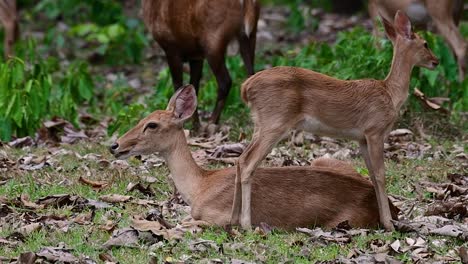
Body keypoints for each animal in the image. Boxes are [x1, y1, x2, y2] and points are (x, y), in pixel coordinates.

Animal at [109, 85, 398, 230]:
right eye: (142, 118)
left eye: (152, 125)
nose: (114, 145)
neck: (200, 187)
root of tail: (394, 208)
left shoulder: (217, 217)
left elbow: (182, 223)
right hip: (325, 159)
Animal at [141, 0, 262, 128]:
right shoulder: (196, 56)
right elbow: (193, 86)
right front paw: (195, 125)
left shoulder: (171, 48)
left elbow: (178, 86)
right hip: (249, 34)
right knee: (251, 75)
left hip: (213, 41)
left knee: (225, 81)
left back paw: (211, 122)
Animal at [233, 11, 438, 231]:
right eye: (425, 43)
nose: (436, 61)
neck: (390, 94)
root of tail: (245, 87)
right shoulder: (375, 130)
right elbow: (381, 175)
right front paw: (389, 224)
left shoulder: (362, 138)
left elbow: (372, 175)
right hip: (275, 122)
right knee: (248, 163)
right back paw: (246, 224)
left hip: (261, 123)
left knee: (240, 159)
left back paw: (232, 220)